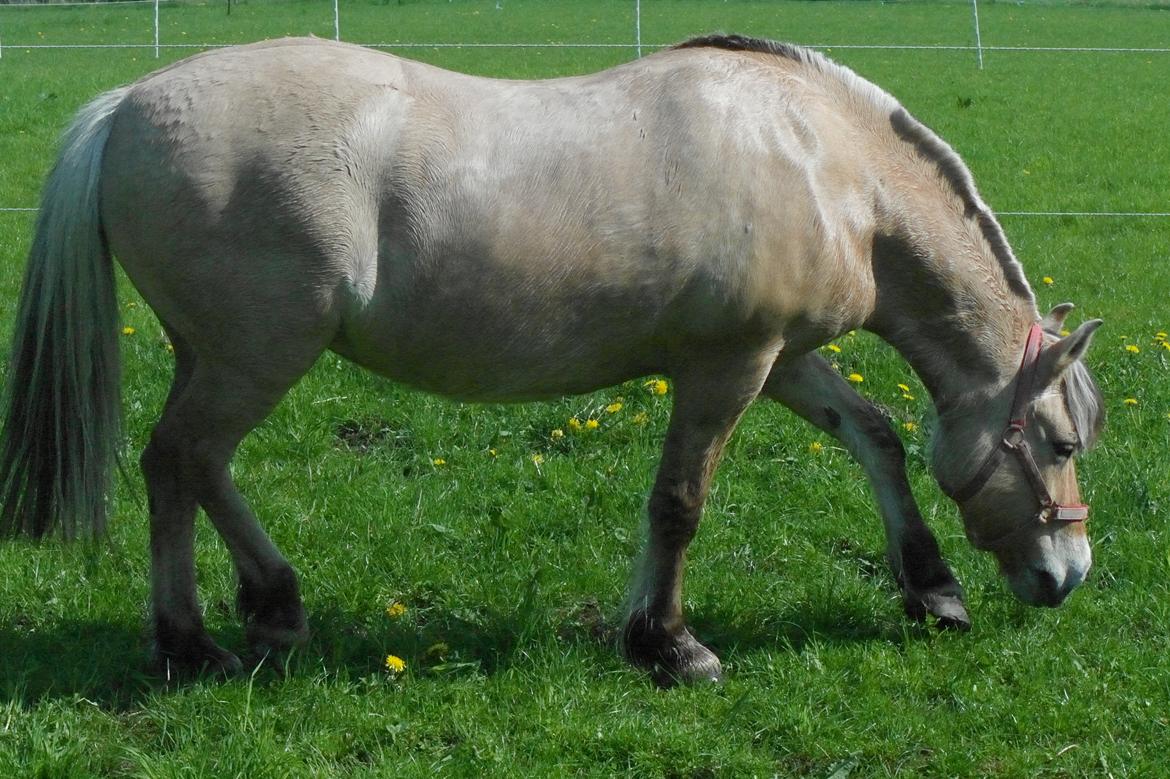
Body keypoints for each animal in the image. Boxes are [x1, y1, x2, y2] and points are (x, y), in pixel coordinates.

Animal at [0, 36, 1099, 678]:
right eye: (1056, 442)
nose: (1068, 574)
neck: (822, 164)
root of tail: (127, 104)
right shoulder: (727, 366)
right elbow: (679, 503)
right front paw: (671, 645)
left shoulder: (778, 360)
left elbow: (873, 437)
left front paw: (932, 587)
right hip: (256, 355)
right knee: (177, 461)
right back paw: (190, 643)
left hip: (220, 355)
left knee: (200, 467)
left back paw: (273, 603)